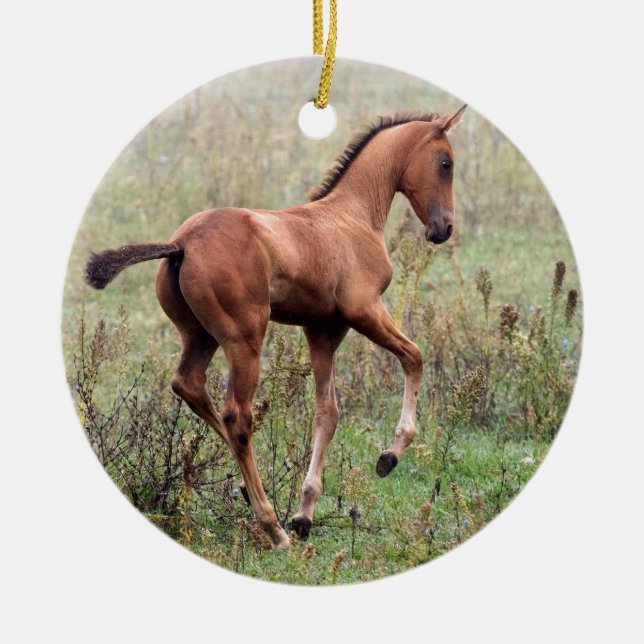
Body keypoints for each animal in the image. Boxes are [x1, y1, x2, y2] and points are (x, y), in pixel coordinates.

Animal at [85, 105, 467, 549]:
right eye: (446, 163)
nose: (444, 228)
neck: (350, 216)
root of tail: (181, 243)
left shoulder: (323, 331)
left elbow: (328, 412)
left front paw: (304, 514)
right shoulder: (364, 310)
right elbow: (414, 357)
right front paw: (389, 456)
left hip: (199, 336)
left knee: (189, 386)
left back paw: (252, 496)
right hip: (245, 338)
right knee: (237, 417)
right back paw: (272, 527)